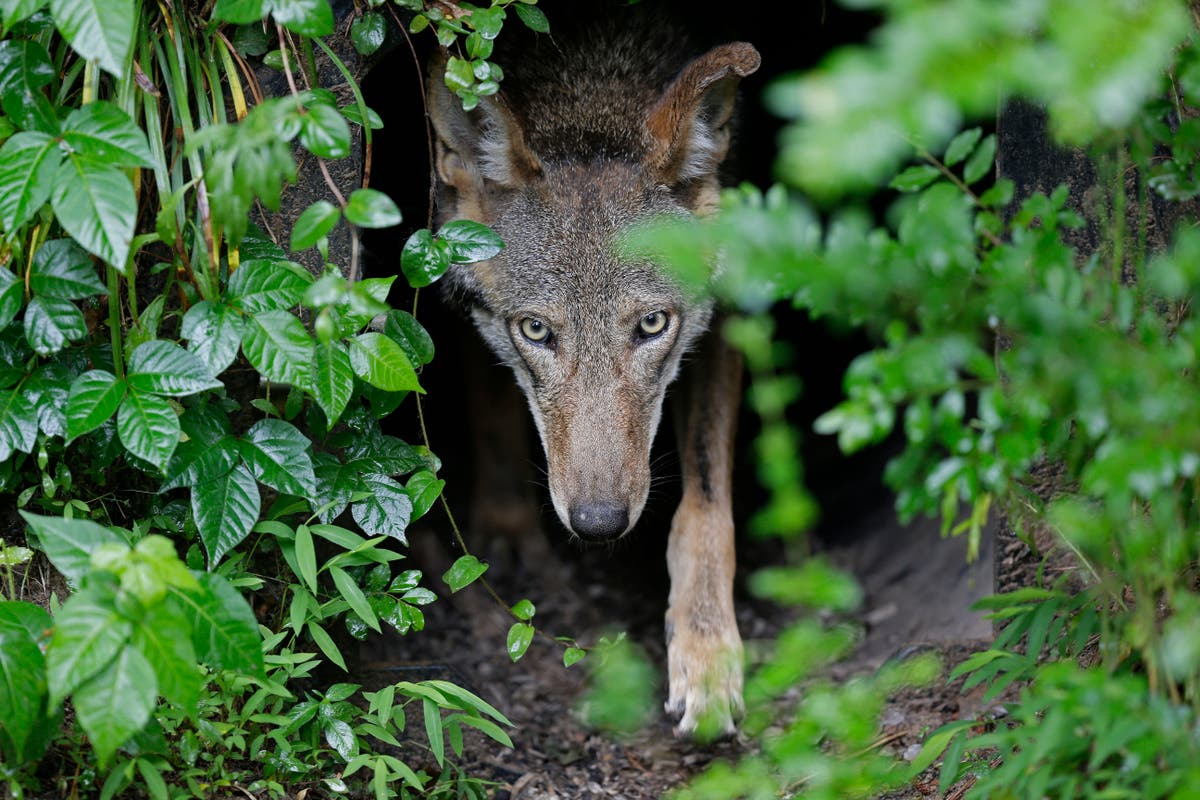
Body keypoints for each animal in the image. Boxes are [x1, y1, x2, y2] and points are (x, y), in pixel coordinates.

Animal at [426, 4, 759, 736]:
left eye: (652, 325)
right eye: (536, 331)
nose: (599, 524)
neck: (594, 74)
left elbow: (706, 505)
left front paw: (707, 651)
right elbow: (492, 413)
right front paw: (507, 529)